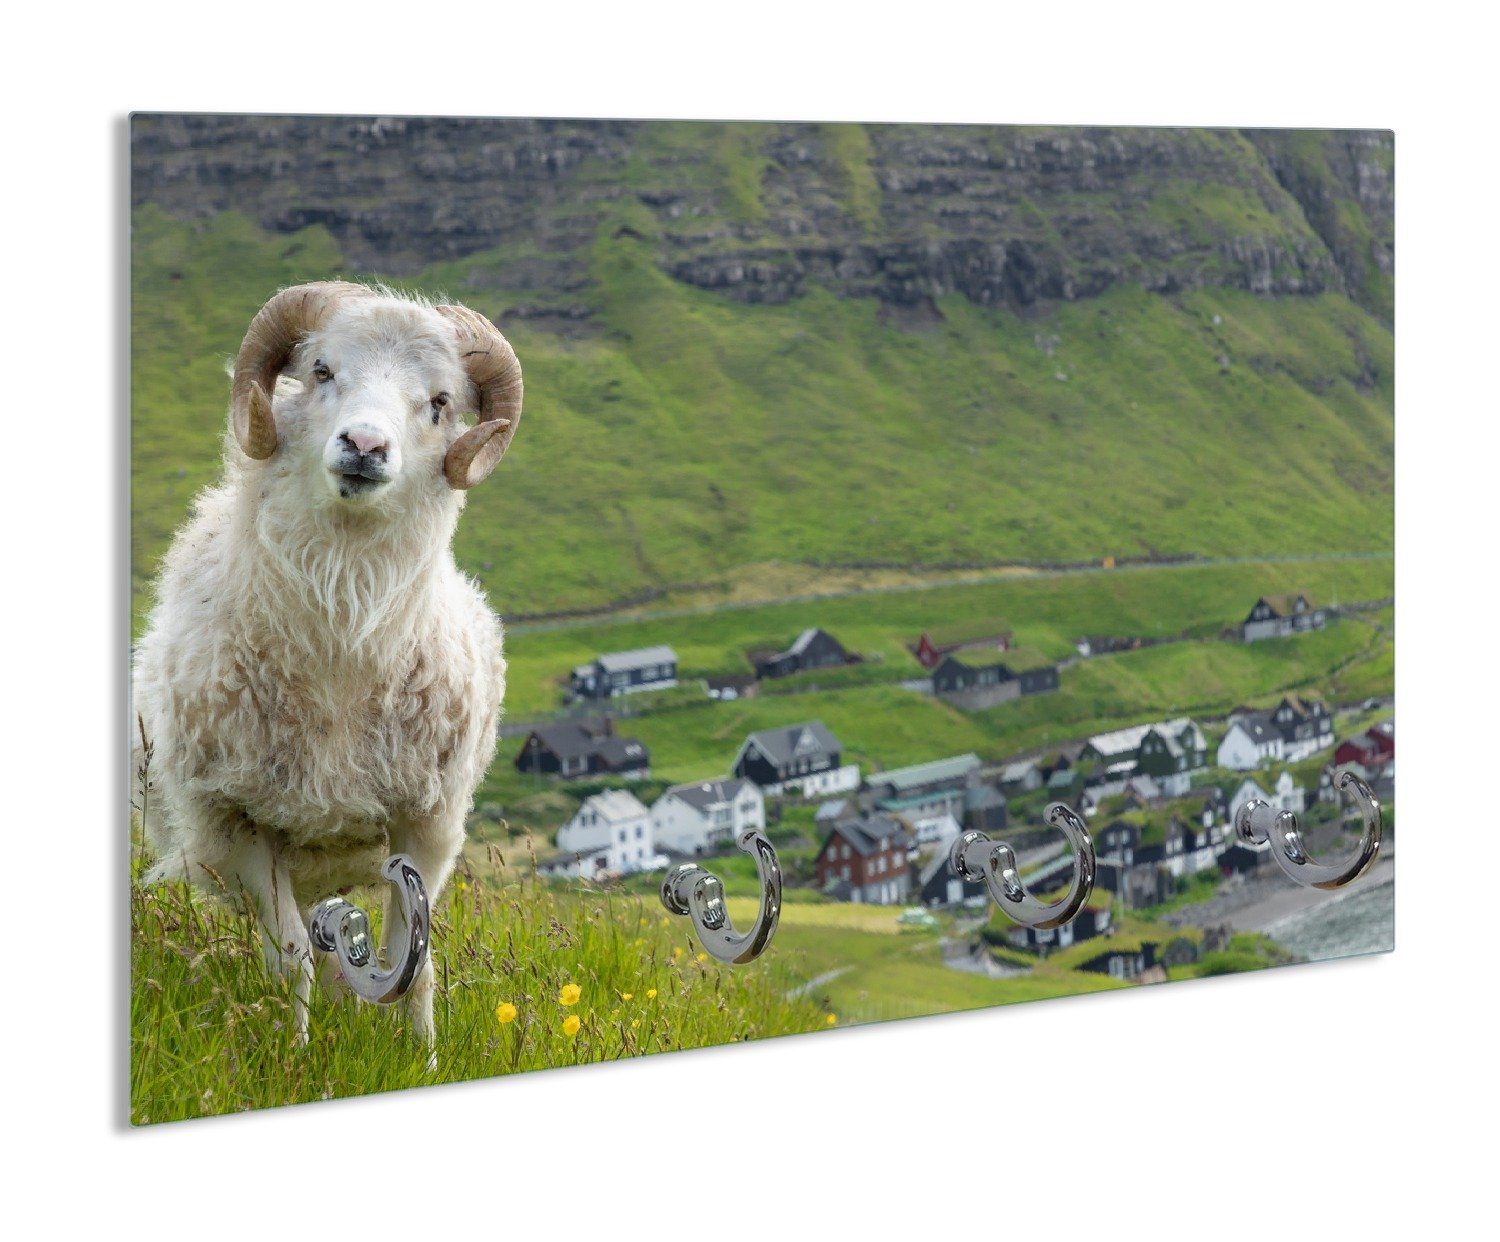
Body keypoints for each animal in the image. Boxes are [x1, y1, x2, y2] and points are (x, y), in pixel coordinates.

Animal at [133, 281, 521, 1048]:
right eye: (322, 371)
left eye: (439, 402)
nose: (365, 445)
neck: (342, 646)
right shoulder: (241, 826)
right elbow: (289, 960)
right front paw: (295, 1054)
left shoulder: (428, 824)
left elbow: (414, 958)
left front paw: (421, 1056)